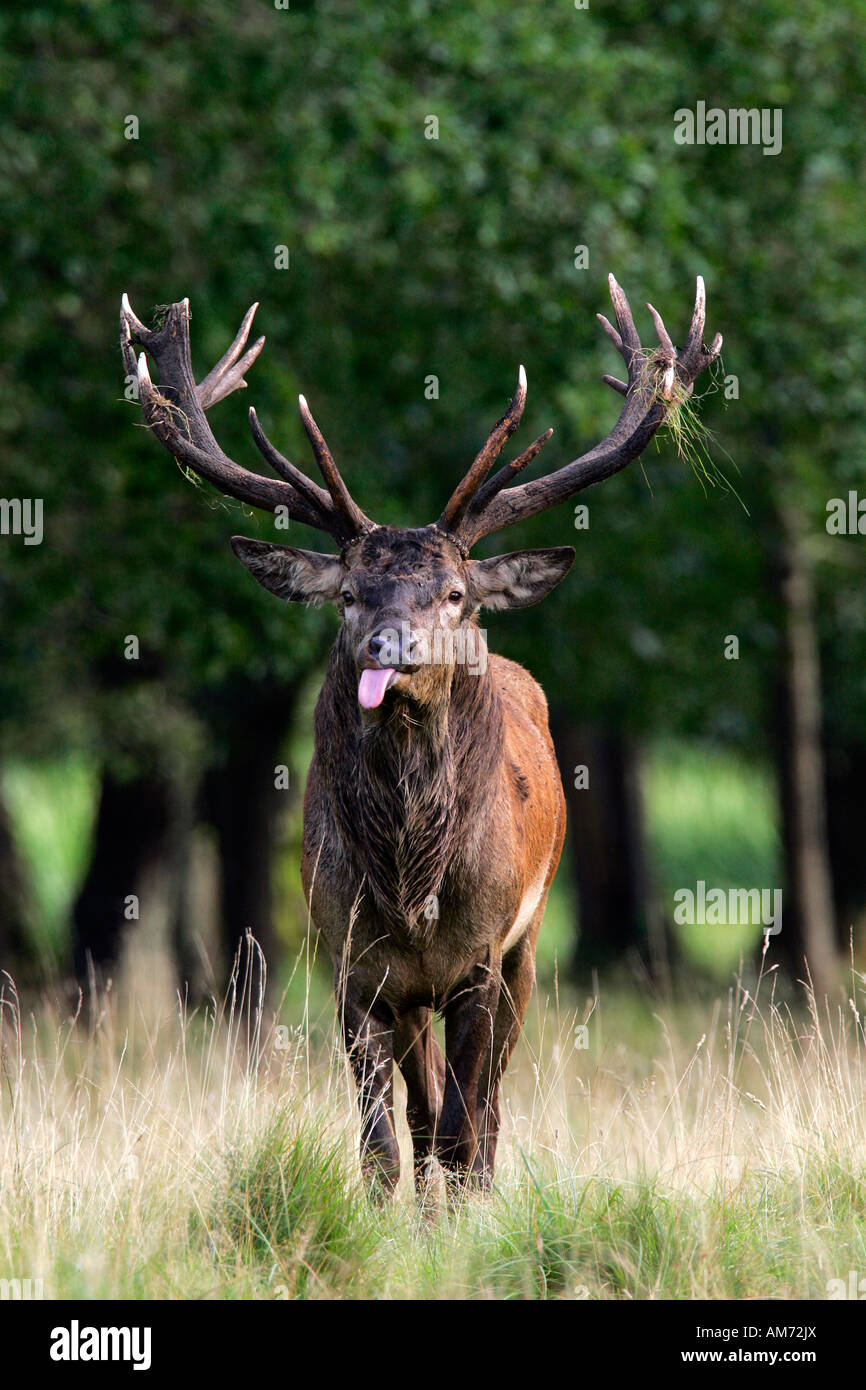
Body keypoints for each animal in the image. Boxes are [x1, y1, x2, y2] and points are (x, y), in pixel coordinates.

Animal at [120, 276, 717, 1200]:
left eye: (454, 594)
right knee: (424, 1110)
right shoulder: (353, 968)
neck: (411, 887)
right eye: (348, 594)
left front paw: (463, 1214)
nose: (388, 649)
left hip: (529, 948)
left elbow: (468, 1131)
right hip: (413, 997)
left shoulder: (480, 959)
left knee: (486, 1110)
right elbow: (385, 1145)